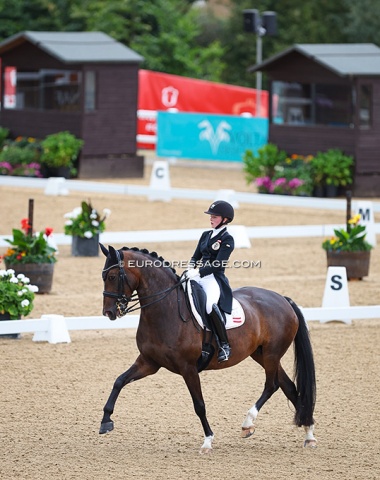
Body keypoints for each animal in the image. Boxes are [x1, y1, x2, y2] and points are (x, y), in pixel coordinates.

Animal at [98, 246, 318, 452]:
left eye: (112, 276)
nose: (108, 312)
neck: (166, 309)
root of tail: (283, 299)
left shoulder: (188, 368)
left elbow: (199, 405)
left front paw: (208, 441)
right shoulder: (148, 362)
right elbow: (119, 381)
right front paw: (106, 422)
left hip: (272, 354)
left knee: (272, 385)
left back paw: (248, 424)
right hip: (262, 354)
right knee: (289, 387)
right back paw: (309, 435)